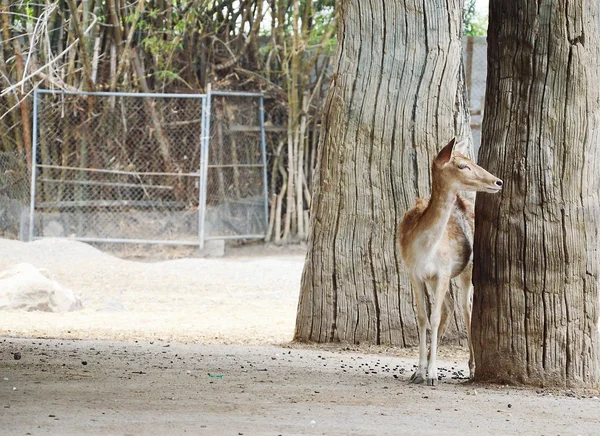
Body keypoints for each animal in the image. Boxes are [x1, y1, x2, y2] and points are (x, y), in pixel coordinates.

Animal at [400, 138, 504, 386]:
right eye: (462, 165)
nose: (498, 181)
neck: (425, 248)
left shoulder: (444, 271)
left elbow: (435, 318)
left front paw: (433, 374)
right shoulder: (414, 272)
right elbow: (423, 318)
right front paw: (419, 372)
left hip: (467, 270)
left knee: (466, 307)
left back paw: (473, 368)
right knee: (450, 306)